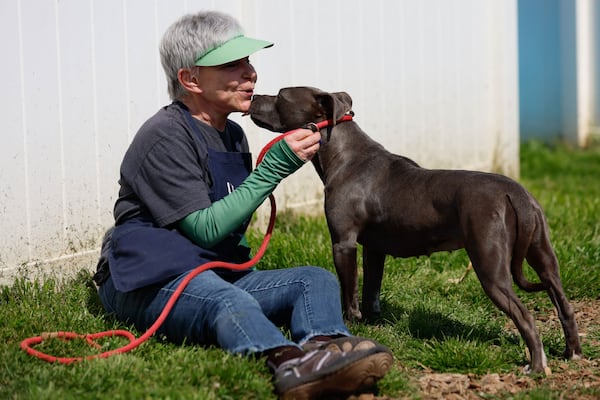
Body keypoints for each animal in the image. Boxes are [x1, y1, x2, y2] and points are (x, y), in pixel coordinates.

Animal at [248, 85, 580, 376]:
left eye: (280, 96)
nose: (251, 96)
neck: (344, 155)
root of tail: (515, 193)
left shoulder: (343, 244)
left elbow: (349, 292)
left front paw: (350, 326)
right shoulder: (373, 249)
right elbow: (371, 289)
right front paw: (371, 321)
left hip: (490, 267)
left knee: (525, 316)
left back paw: (536, 366)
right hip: (544, 258)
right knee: (563, 304)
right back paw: (572, 353)